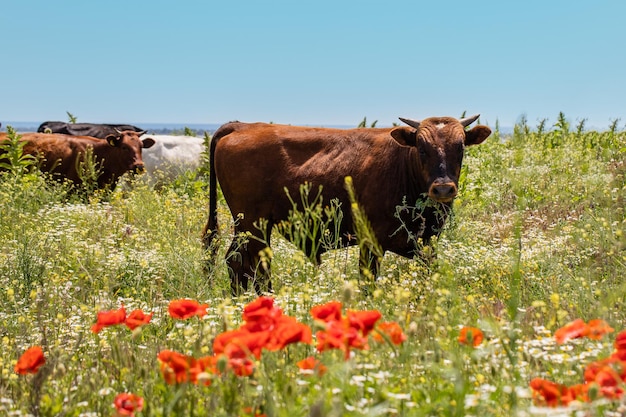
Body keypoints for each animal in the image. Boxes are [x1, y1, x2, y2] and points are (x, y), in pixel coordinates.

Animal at [202, 115, 490, 294]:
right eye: (421, 148)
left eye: (460, 147)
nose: (443, 187)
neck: (402, 166)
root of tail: (241, 126)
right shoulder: (370, 243)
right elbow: (367, 283)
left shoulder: (426, 243)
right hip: (253, 225)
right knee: (248, 265)